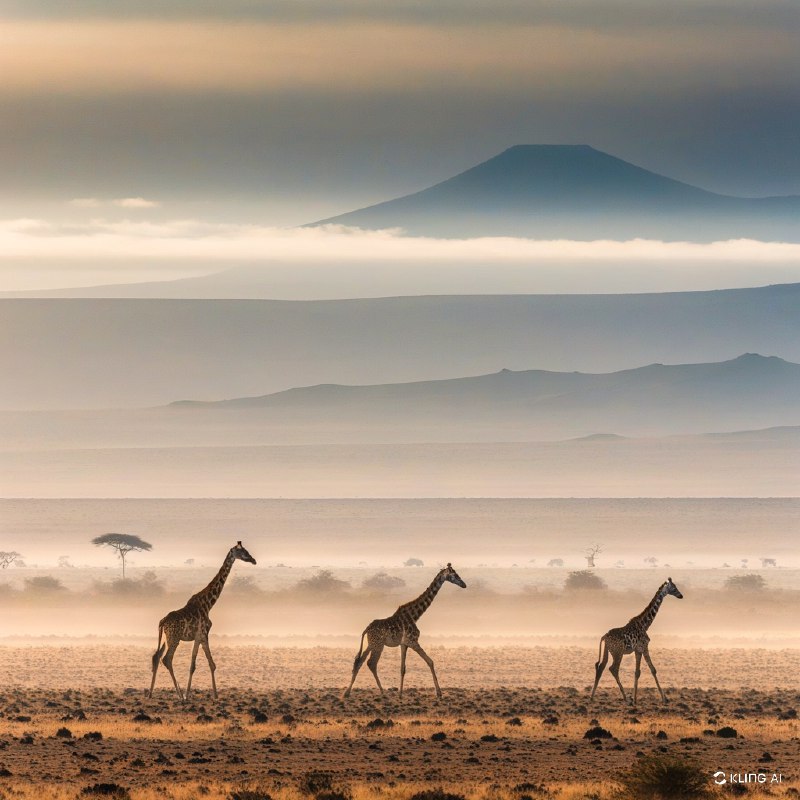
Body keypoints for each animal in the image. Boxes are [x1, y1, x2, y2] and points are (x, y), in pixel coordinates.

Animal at [148, 541, 257, 701]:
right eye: (242, 552)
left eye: (246, 550)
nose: (253, 560)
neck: (208, 604)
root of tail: (162, 622)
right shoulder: (203, 634)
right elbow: (199, 665)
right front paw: (190, 695)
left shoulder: (199, 637)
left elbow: (208, 664)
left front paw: (213, 694)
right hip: (174, 638)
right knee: (167, 659)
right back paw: (179, 694)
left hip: (166, 638)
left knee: (156, 657)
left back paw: (150, 693)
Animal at [343, 563, 466, 699]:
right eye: (454, 574)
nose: (464, 584)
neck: (415, 615)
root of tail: (366, 629)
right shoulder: (412, 641)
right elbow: (430, 661)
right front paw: (439, 693)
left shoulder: (404, 644)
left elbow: (403, 668)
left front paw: (401, 694)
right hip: (378, 645)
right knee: (371, 663)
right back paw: (382, 692)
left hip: (371, 644)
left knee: (359, 661)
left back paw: (347, 693)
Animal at [590, 577, 683, 705]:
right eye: (674, 587)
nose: (681, 595)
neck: (645, 624)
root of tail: (604, 636)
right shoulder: (643, 647)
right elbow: (651, 670)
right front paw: (663, 698)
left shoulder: (637, 650)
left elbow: (638, 671)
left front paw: (635, 699)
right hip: (618, 653)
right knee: (613, 669)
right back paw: (625, 698)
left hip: (608, 651)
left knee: (601, 667)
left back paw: (592, 697)